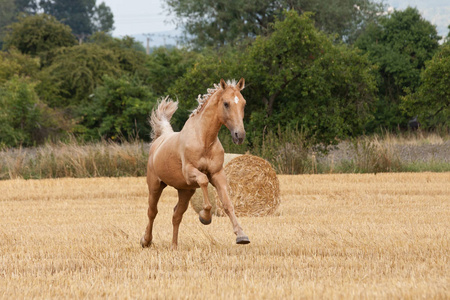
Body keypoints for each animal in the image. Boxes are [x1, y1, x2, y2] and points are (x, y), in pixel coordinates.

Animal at [141, 78, 250, 251]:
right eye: (226, 103)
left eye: (244, 104)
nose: (239, 135)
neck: (204, 140)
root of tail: (160, 138)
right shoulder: (190, 172)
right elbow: (204, 181)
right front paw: (205, 217)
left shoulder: (218, 174)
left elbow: (227, 204)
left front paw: (241, 235)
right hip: (155, 185)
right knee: (152, 212)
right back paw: (146, 241)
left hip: (185, 191)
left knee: (176, 215)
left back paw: (174, 246)